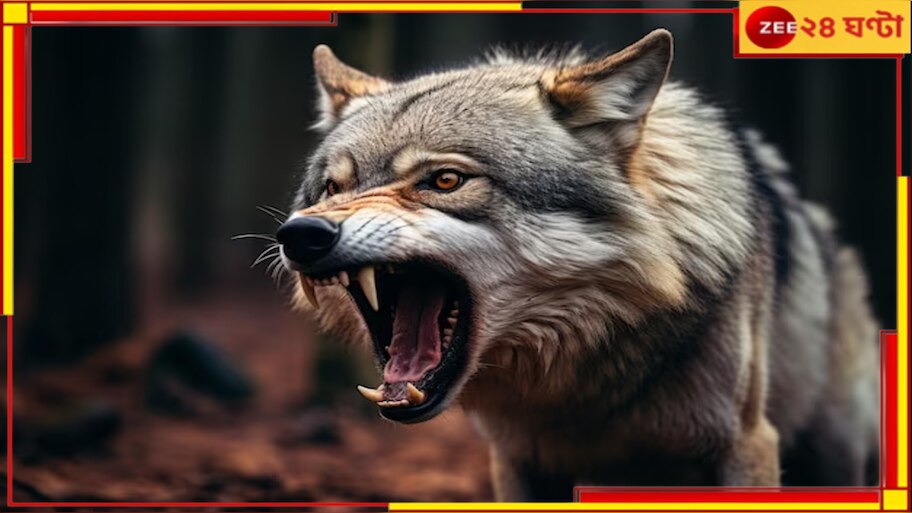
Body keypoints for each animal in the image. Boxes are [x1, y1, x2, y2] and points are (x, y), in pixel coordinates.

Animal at [276, 29, 880, 500]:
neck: (581, 384)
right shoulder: (516, 461)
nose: (301, 234)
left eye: (445, 180)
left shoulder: (747, 444)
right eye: (333, 188)